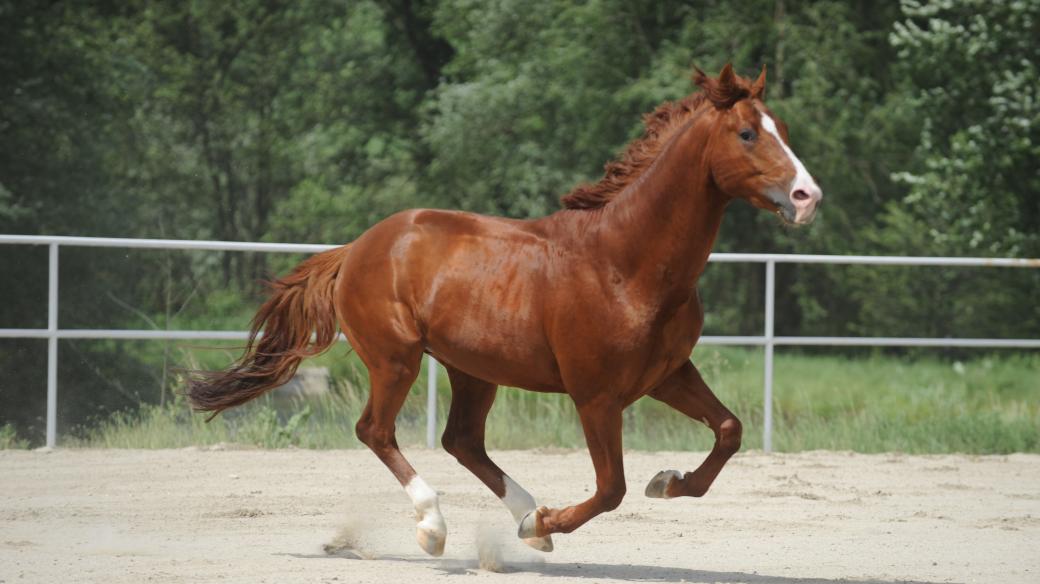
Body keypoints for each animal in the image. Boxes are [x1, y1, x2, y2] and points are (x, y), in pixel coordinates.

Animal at [187, 64, 819, 552]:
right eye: (746, 134)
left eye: (782, 130)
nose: (807, 196)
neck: (626, 262)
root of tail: (357, 247)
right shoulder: (596, 395)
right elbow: (611, 488)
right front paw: (551, 521)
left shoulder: (667, 375)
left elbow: (730, 430)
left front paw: (666, 481)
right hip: (397, 359)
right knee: (376, 430)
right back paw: (440, 528)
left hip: (473, 369)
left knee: (461, 440)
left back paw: (523, 517)